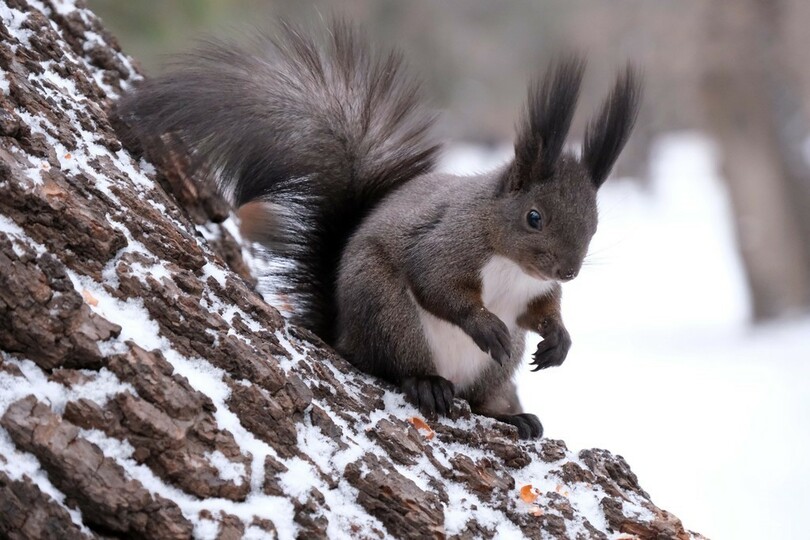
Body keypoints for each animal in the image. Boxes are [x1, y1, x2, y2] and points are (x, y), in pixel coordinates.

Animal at [117, 23, 640, 440]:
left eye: (595, 223)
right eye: (534, 217)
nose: (569, 271)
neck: (510, 260)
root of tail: (342, 333)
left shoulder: (535, 290)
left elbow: (541, 311)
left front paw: (559, 341)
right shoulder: (448, 241)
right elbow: (437, 284)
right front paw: (484, 323)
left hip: (496, 366)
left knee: (481, 398)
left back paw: (511, 417)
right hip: (387, 311)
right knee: (393, 366)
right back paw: (426, 382)